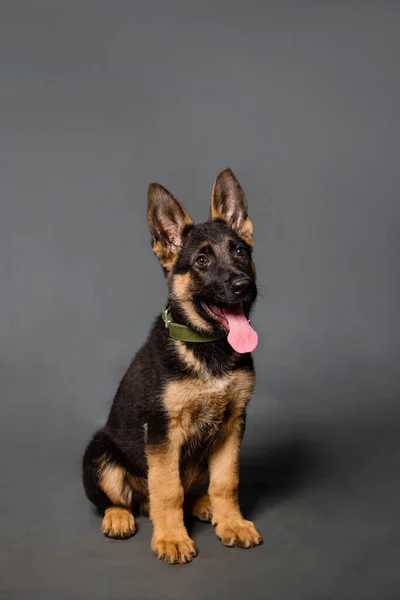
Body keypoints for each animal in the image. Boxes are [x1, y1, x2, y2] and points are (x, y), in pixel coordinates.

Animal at [83, 168, 260, 564]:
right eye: (202, 262)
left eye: (241, 251)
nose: (244, 286)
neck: (208, 347)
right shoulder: (163, 431)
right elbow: (167, 489)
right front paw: (171, 538)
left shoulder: (233, 423)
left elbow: (226, 481)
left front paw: (232, 522)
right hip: (99, 451)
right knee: (120, 500)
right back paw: (119, 516)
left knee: (187, 490)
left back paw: (204, 505)